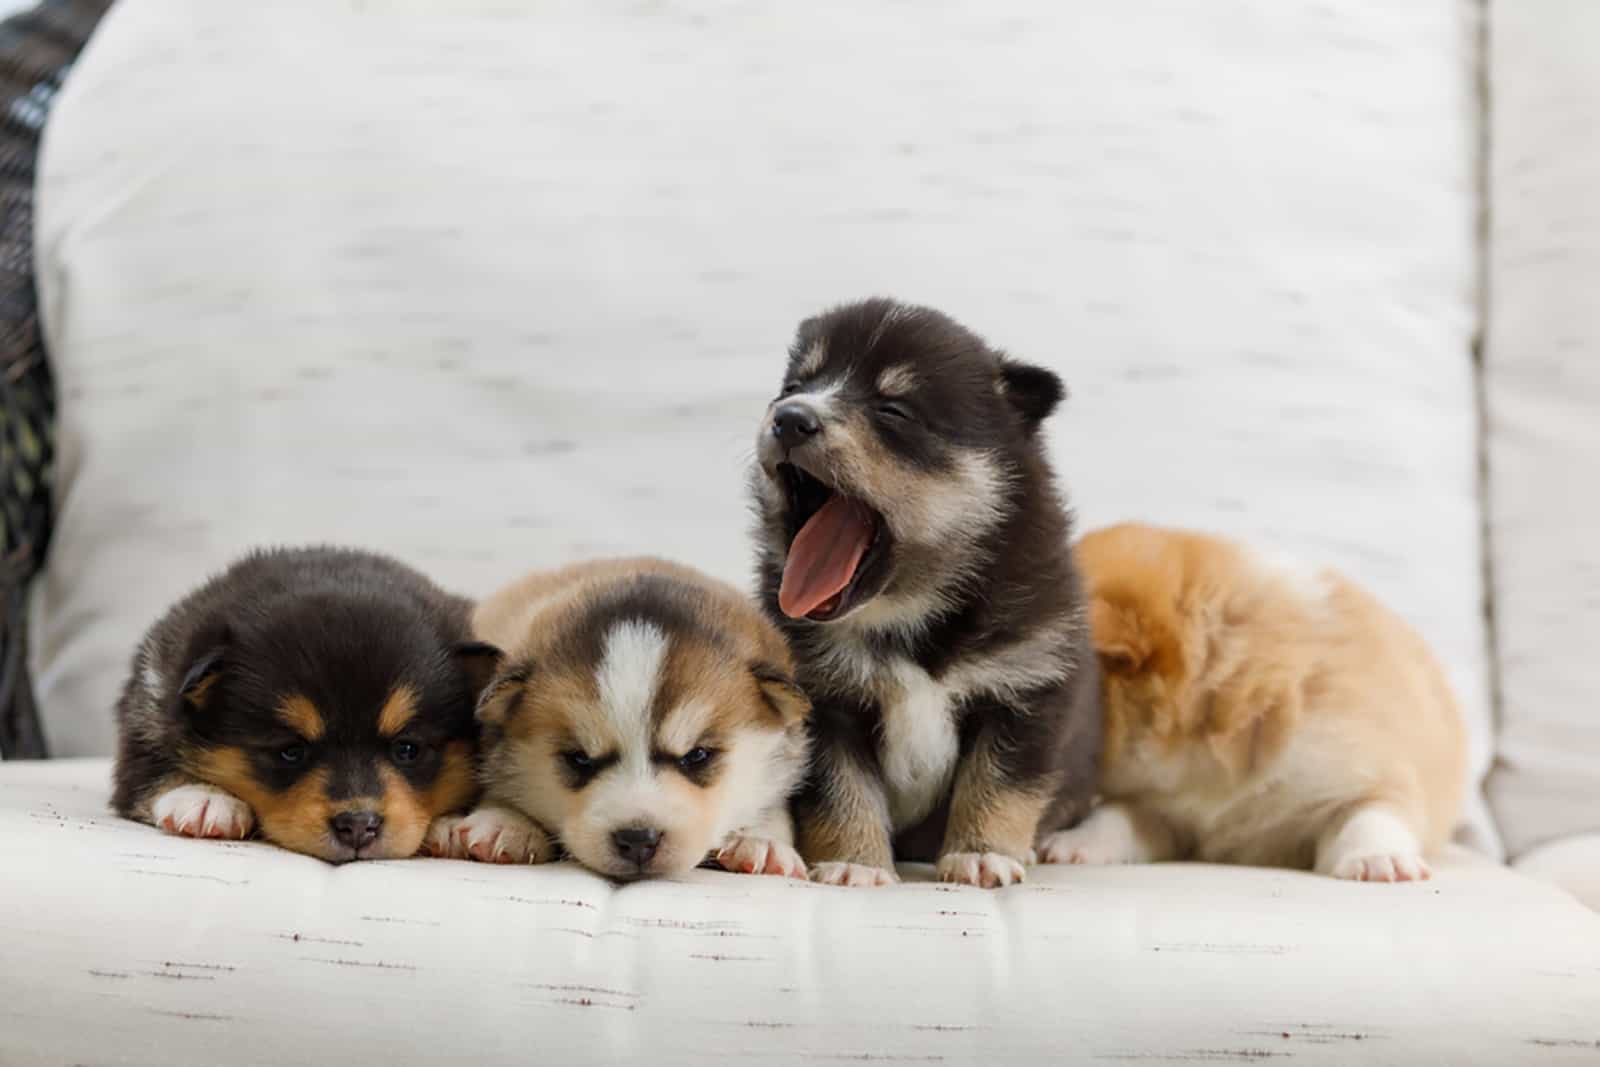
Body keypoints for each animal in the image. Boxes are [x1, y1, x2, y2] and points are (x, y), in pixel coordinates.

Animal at [110, 547, 496, 863]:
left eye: (408, 749)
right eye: (291, 751)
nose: (358, 825)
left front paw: (451, 824)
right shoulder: (150, 704)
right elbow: (150, 769)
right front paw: (204, 800)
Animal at [428, 556, 812, 883]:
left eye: (697, 756)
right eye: (579, 759)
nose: (638, 839)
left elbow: (772, 804)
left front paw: (762, 841)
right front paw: (506, 822)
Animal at [748, 295, 1100, 889]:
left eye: (894, 410)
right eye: (794, 385)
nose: (789, 417)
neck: (908, 609)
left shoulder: (1028, 686)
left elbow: (999, 783)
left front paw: (982, 854)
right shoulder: (823, 702)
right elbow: (842, 792)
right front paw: (854, 863)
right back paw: (759, 845)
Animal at [1043, 524, 1465, 883]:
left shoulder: (1368, 781)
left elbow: (1371, 818)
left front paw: (1379, 861)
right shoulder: (1160, 808)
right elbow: (1115, 819)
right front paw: (1072, 843)